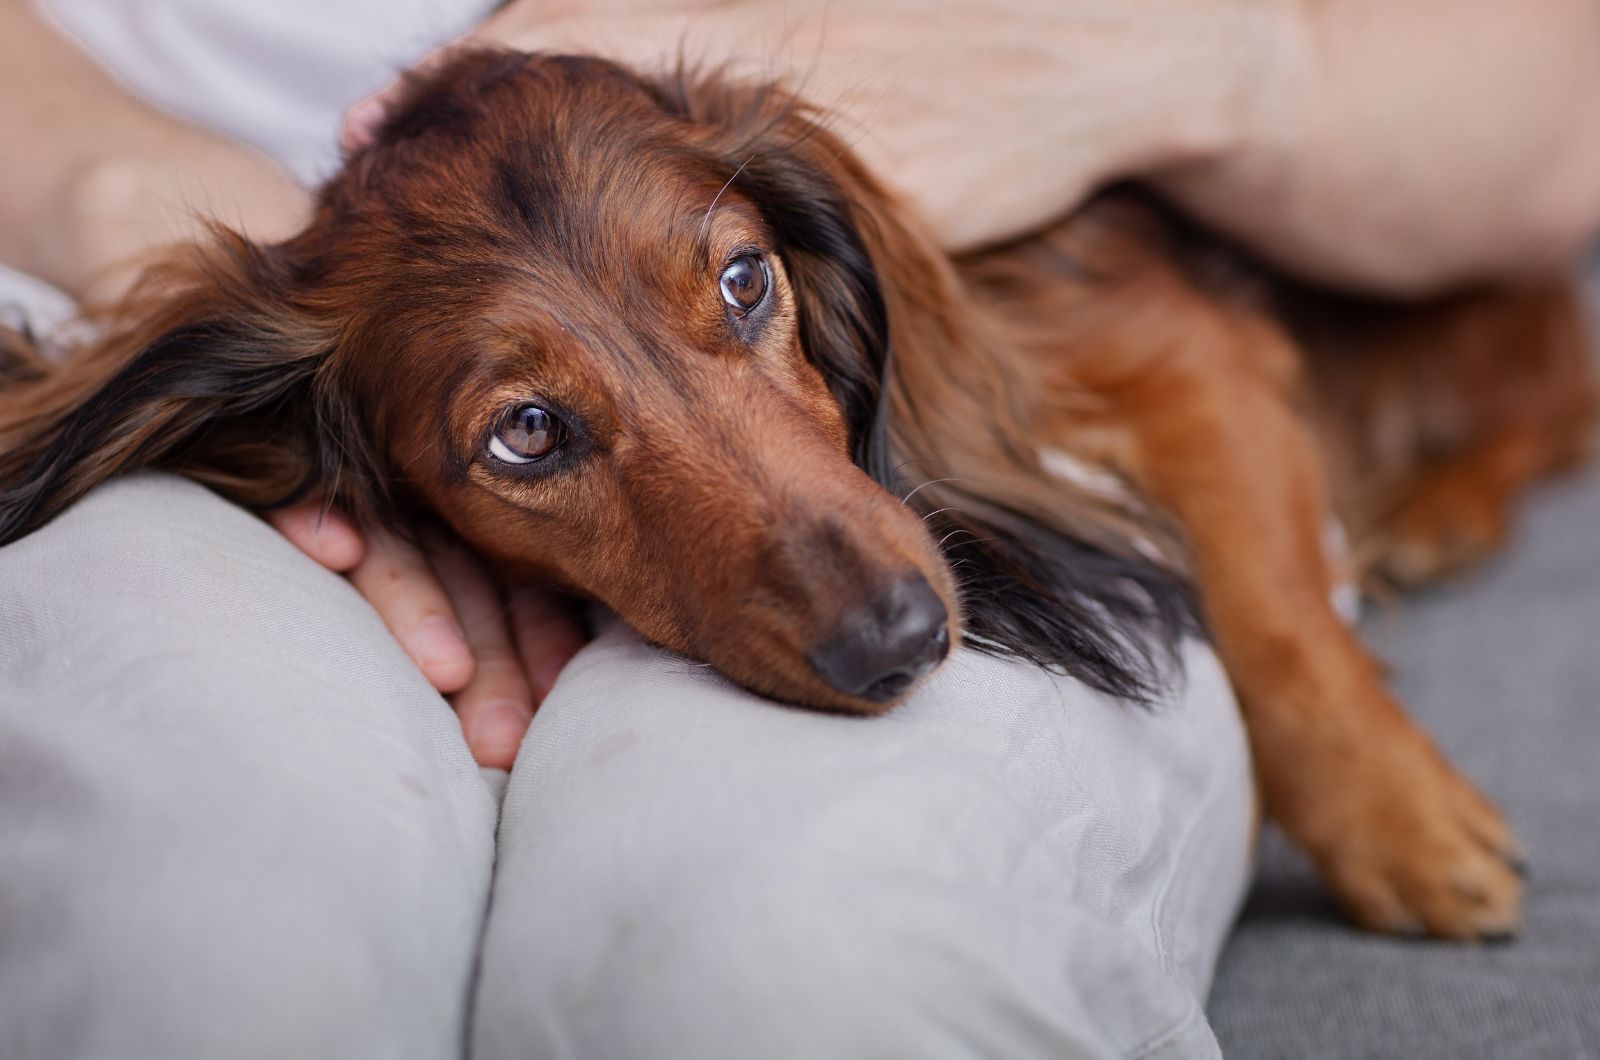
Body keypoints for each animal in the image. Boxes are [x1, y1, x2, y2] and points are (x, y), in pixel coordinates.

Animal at [0, 54, 1587, 941]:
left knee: (1548, 389)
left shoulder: (1178, 345)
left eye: (746, 279)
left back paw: (1438, 506)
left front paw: (1402, 825)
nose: (901, 641)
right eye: (526, 434)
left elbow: (1277, 620)